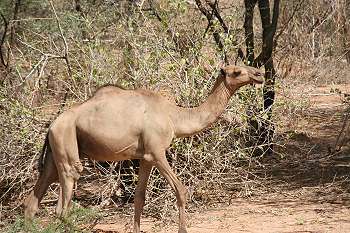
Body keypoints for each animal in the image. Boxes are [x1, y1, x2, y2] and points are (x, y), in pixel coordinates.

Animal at [23, 64, 262, 233]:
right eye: (237, 71)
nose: (259, 74)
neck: (173, 116)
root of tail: (51, 125)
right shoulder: (157, 152)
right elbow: (180, 190)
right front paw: (183, 229)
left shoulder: (145, 157)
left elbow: (139, 196)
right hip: (66, 142)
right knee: (63, 201)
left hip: (55, 153)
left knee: (34, 200)